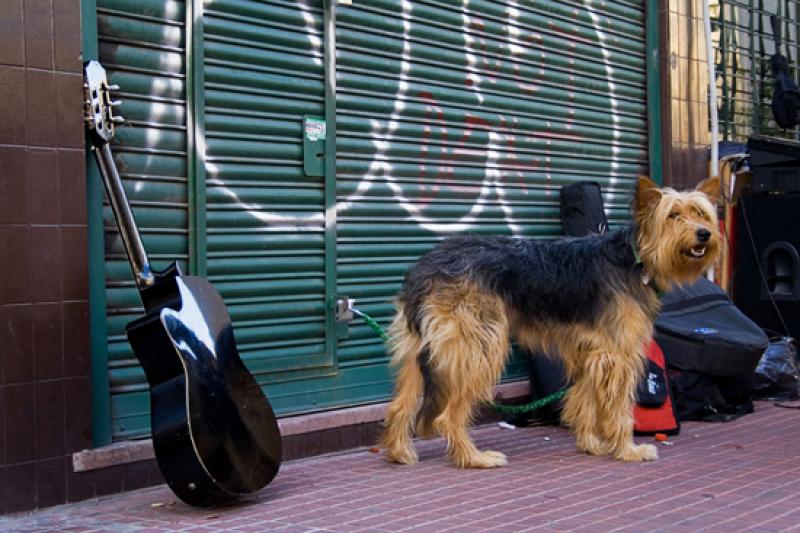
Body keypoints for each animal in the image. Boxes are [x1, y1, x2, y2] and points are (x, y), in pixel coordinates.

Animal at [378, 176, 720, 466]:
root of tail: (425, 269)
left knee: (399, 404)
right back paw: (474, 458)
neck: (633, 258)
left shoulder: (590, 353)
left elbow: (584, 400)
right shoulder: (618, 355)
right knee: (447, 417)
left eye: (700, 214)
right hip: (478, 347)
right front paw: (627, 450)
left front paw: (590, 444)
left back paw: (399, 452)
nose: (704, 234)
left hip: (416, 350)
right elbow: (619, 408)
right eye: (673, 215)